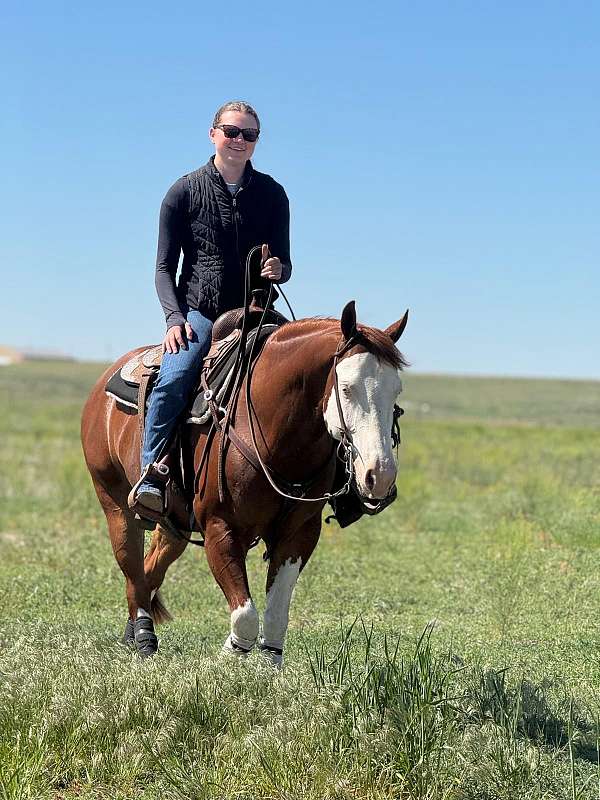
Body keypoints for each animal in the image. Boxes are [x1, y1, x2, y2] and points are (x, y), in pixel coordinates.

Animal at [81, 301, 408, 663]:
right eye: (347, 388)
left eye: (396, 390)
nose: (380, 475)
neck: (275, 435)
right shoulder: (220, 528)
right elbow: (246, 615)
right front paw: (228, 657)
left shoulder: (300, 534)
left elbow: (276, 613)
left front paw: (270, 663)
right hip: (114, 503)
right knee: (132, 568)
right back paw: (143, 637)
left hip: (173, 523)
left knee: (149, 570)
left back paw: (131, 634)